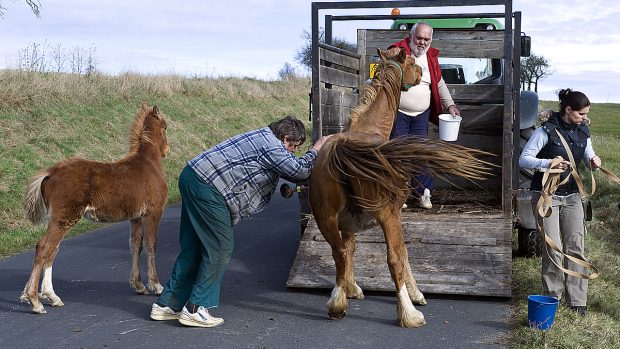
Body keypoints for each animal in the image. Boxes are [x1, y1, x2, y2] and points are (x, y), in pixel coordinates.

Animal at [21, 101, 170, 312]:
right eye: (165, 127)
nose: (167, 150)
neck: (149, 164)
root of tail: (52, 172)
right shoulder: (153, 212)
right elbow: (151, 244)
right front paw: (156, 285)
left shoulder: (135, 216)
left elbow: (135, 245)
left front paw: (138, 285)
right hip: (65, 216)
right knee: (44, 247)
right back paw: (35, 300)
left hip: (59, 218)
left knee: (52, 250)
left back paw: (49, 296)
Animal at [310, 47, 494, 326]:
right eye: (410, 62)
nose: (420, 73)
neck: (369, 128)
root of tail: (343, 149)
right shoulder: (395, 214)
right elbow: (404, 255)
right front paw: (416, 294)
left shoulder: (349, 224)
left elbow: (349, 251)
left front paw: (350, 289)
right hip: (386, 216)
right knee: (394, 258)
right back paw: (409, 313)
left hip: (326, 218)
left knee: (338, 252)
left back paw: (337, 304)